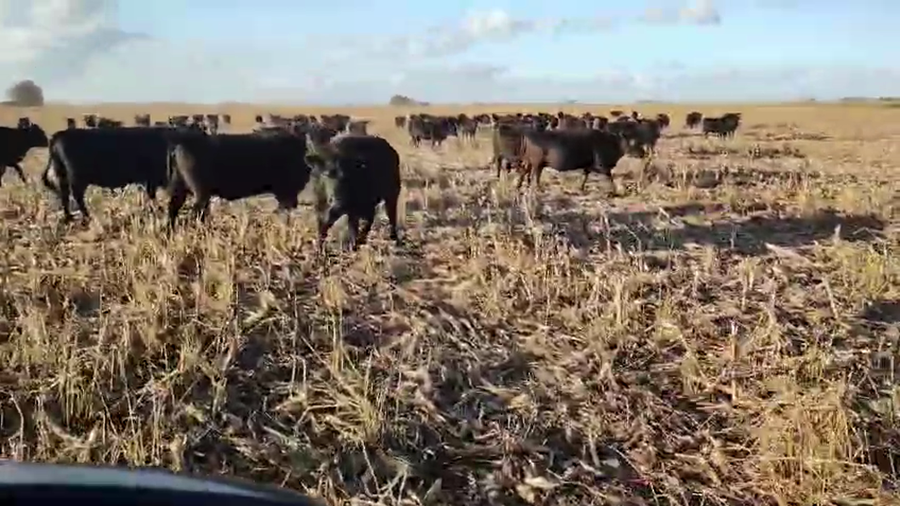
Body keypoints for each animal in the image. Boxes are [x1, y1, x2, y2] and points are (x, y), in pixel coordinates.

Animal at [41, 127, 180, 223]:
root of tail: (58, 136)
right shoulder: (151, 178)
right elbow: (151, 195)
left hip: (62, 175)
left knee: (64, 195)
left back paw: (69, 217)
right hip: (76, 178)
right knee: (76, 196)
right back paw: (87, 217)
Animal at [165, 133, 312, 230]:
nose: (307, 170)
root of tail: (178, 146)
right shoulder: (286, 194)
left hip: (182, 190)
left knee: (174, 210)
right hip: (200, 193)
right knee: (194, 213)